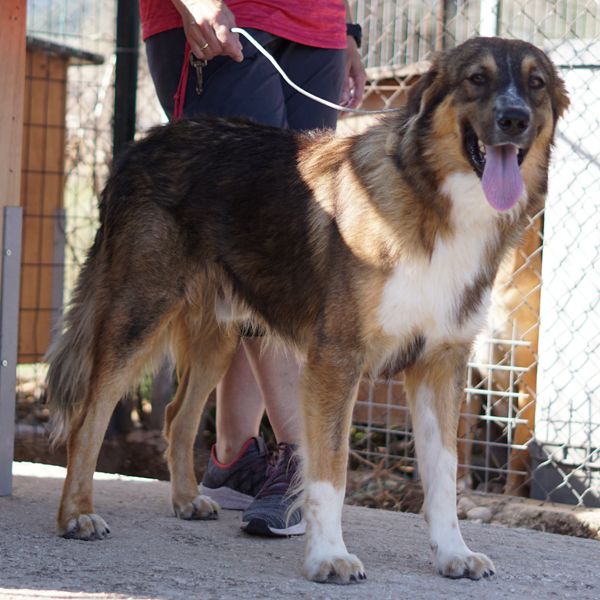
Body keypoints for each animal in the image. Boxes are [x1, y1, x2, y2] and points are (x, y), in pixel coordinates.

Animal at [47, 37, 568, 583]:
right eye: (477, 79)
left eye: (535, 83)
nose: (514, 119)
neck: (436, 204)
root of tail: (144, 143)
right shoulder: (337, 361)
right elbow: (331, 469)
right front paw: (328, 556)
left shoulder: (439, 364)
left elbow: (444, 474)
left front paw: (452, 552)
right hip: (138, 315)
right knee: (88, 417)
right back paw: (77, 514)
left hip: (220, 339)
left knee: (176, 418)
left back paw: (187, 499)